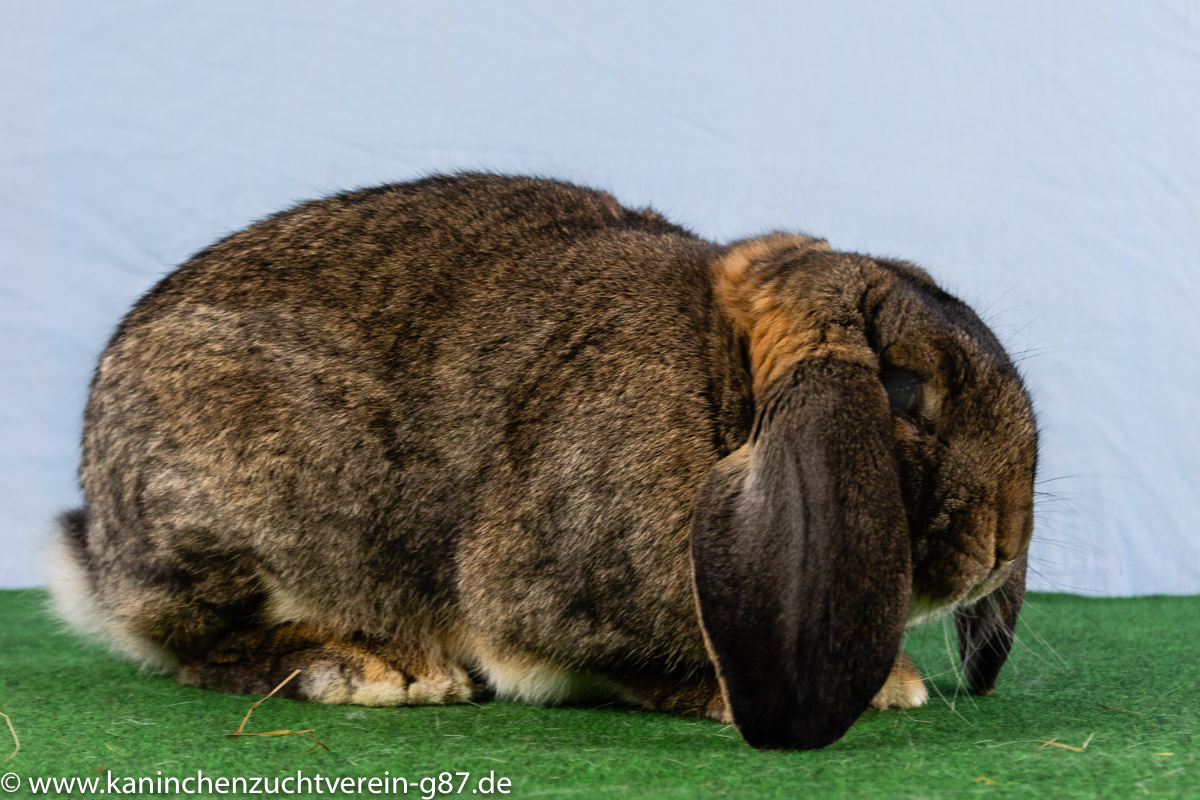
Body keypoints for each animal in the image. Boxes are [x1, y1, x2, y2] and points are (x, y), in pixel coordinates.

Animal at [51, 173, 1036, 753]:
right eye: (901, 389)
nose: (1004, 545)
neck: (720, 386)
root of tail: (96, 549)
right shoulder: (554, 598)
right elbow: (627, 661)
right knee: (199, 647)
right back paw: (380, 669)